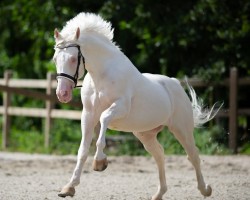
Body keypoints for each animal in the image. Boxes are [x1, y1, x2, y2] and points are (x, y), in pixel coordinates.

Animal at [53, 12, 221, 200]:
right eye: (55, 59)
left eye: (73, 58)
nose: (62, 94)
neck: (102, 76)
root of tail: (176, 84)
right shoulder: (88, 115)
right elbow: (82, 151)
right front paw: (69, 187)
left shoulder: (120, 108)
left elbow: (103, 121)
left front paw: (100, 162)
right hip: (145, 134)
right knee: (159, 155)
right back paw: (159, 193)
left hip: (181, 129)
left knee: (193, 156)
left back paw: (205, 189)